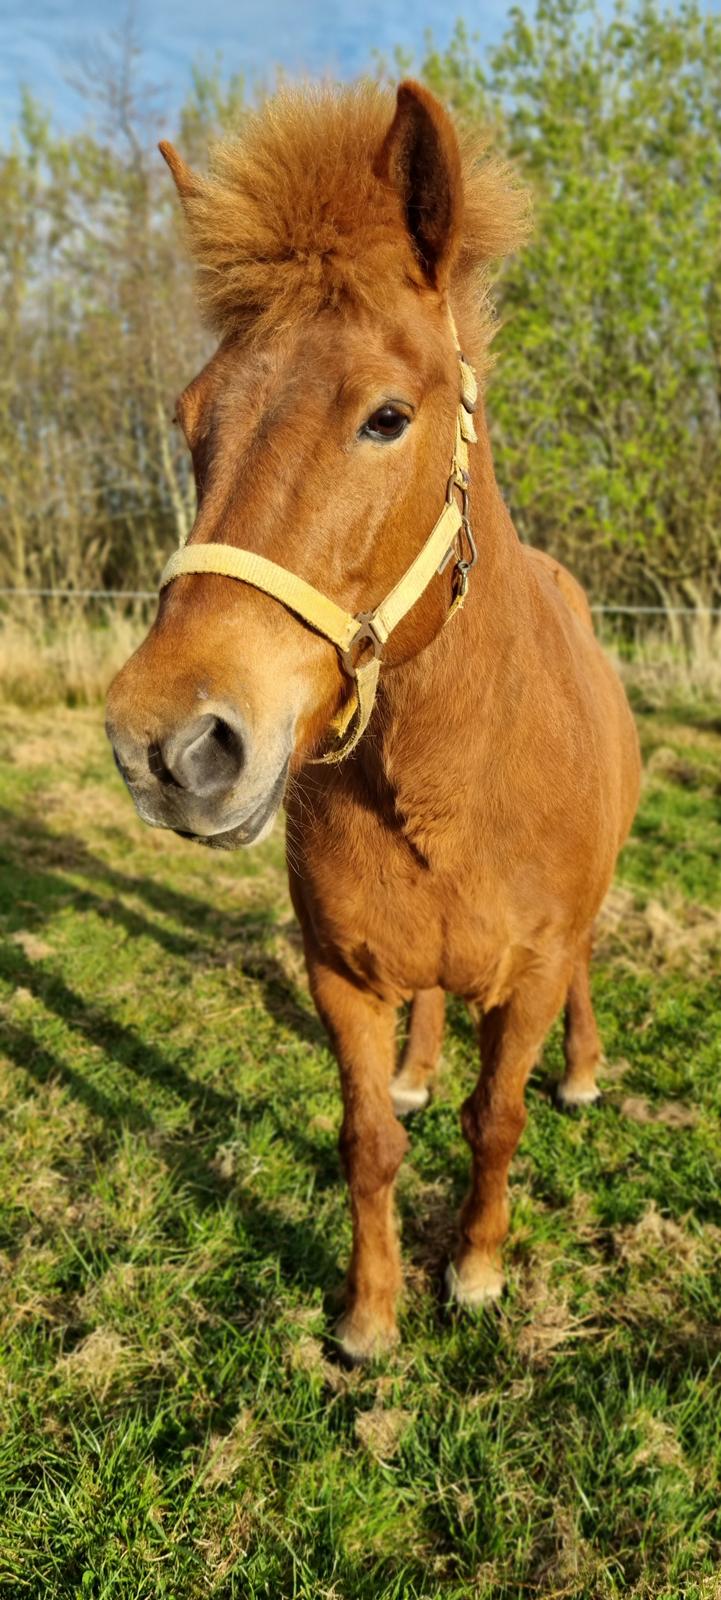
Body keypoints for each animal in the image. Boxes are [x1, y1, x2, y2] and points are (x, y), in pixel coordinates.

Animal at [104, 81, 639, 1363]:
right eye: (191, 419)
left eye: (387, 416)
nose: (167, 745)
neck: (448, 770)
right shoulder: (339, 977)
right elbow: (370, 1142)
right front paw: (368, 1314)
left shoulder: (529, 976)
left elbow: (496, 1120)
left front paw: (476, 1272)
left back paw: (585, 1072)